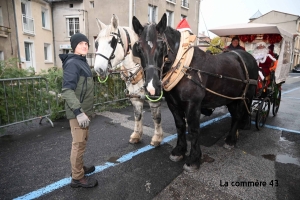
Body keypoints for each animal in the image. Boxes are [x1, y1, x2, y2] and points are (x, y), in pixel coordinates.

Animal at [94, 14, 163, 145]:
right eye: (96, 43)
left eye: (112, 42)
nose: (98, 69)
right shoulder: (135, 98)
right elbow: (137, 115)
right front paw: (137, 135)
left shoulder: (154, 97)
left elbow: (156, 117)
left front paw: (157, 137)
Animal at [132, 14, 258, 172]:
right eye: (139, 48)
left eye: (161, 47)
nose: (152, 87)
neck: (184, 66)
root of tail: (248, 57)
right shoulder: (173, 104)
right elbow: (180, 125)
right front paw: (179, 151)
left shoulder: (193, 104)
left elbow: (193, 129)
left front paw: (193, 159)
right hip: (231, 98)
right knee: (235, 115)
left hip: (243, 97)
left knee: (237, 116)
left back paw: (230, 140)